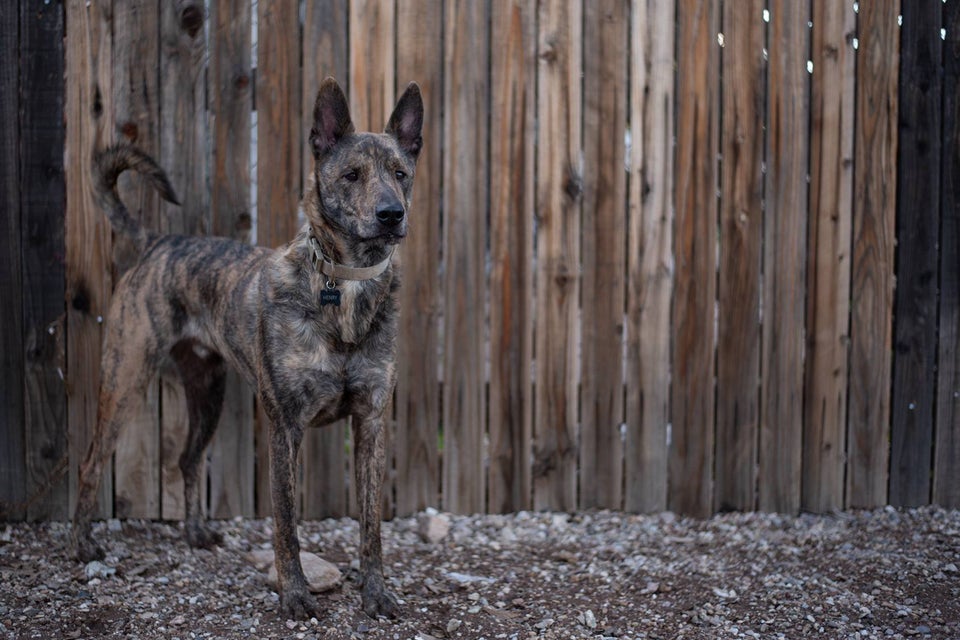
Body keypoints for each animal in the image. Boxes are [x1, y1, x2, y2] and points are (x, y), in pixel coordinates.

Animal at [71, 76, 424, 620]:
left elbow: (371, 528)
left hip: (208, 391)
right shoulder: (285, 427)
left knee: (188, 459)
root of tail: (156, 242)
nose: (392, 214)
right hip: (126, 378)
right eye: (351, 175)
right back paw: (82, 546)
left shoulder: (371, 422)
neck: (344, 284)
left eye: (401, 174)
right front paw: (296, 595)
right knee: (91, 461)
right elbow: (286, 526)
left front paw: (376, 593)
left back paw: (196, 533)